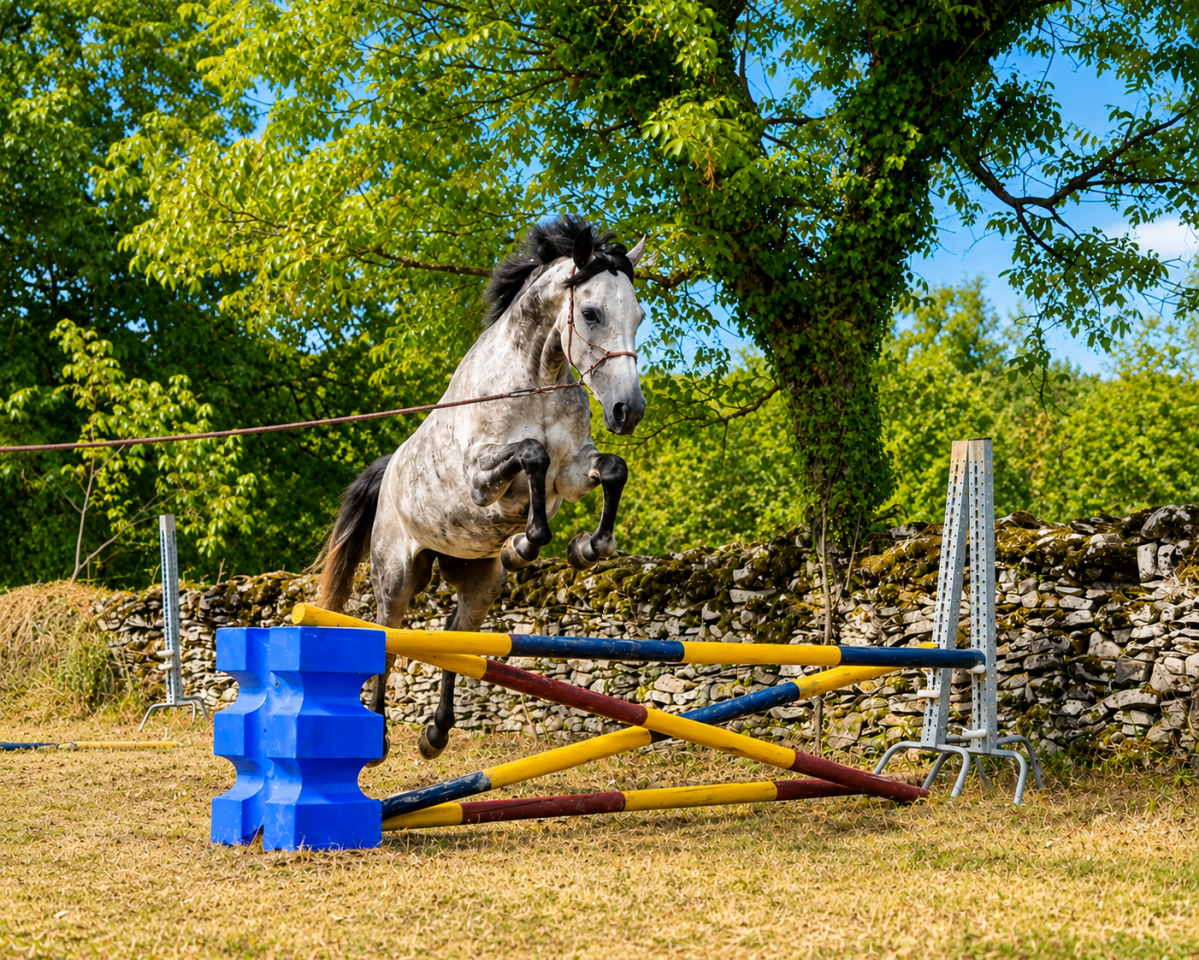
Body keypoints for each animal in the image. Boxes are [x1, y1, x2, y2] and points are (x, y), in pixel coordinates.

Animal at [314, 215, 648, 762]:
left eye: (638, 317)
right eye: (592, 313)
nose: (628, 410)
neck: (539, 378)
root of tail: (388, 475)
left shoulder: (574, 470)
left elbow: (612, 469)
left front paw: (586, 547)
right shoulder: (480, 478)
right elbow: (531, 455)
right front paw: (525, 543)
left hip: (477, 578)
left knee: (455, 633)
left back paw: (436, 732)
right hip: (396, 575)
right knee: (389, 635)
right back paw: (380, 735)